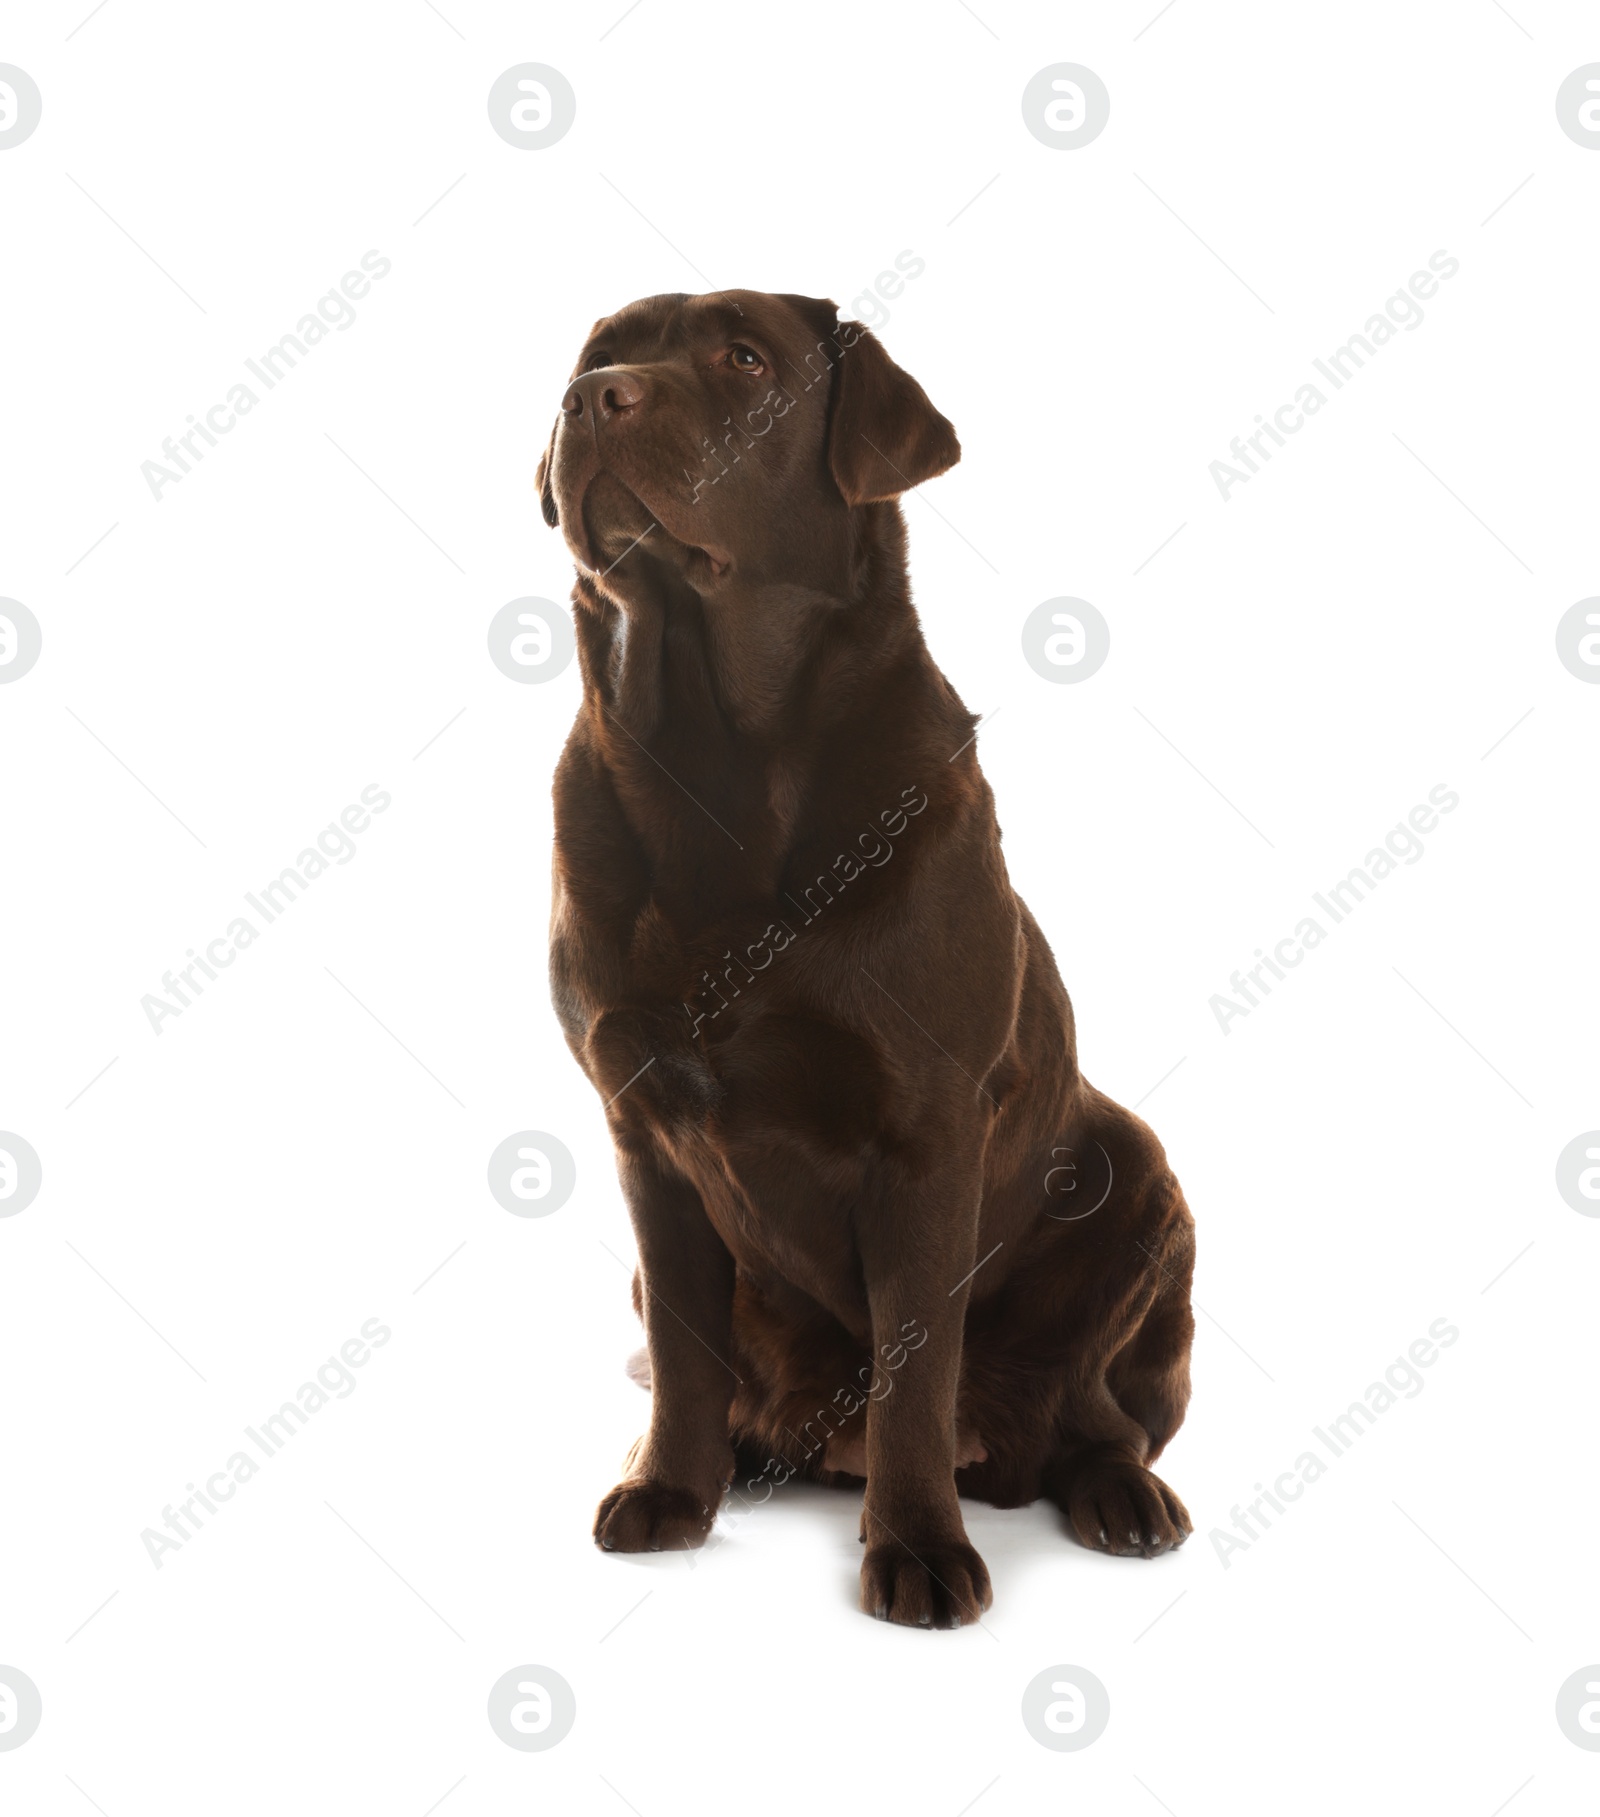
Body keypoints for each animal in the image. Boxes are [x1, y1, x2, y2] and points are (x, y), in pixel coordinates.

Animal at [544, 287, 1191, 1635]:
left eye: (745, 359)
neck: (713, 768)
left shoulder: (928, 1132)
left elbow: (912, 1369)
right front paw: (669, 1490)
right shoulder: (642, 1131)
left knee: (1097, 1415)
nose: (591, 399)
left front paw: (918, 1548)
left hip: (1139, 1172)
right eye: (597, 353)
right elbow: (684, 1349)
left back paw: (1120, 1496)